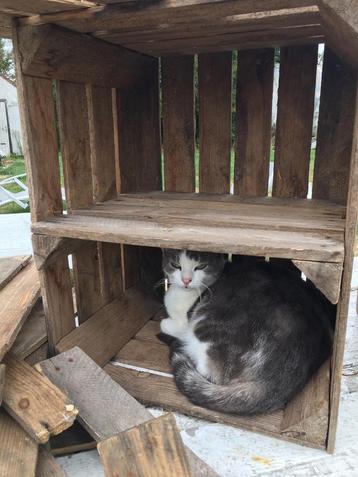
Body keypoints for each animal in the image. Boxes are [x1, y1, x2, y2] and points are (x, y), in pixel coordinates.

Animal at [159, 251, 332, 414]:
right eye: (176, 265)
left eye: (200, 267)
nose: (186, 280)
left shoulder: (184, 322)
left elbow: (166, 324)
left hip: (205, 326)